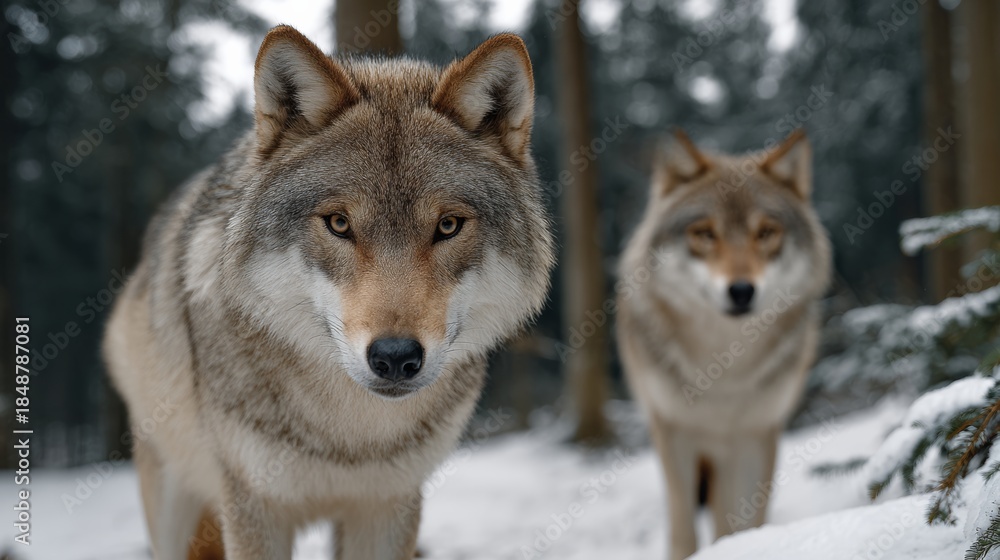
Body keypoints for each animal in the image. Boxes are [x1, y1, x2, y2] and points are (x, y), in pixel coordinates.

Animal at [102, 25, 554, 560]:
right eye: (339, 224)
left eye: (447, 226)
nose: (395, 357)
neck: (352, 439)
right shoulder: (254, 506)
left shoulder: (388, 505)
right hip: (171, 502)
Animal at [615, 130, 831, 559]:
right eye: (705, 234)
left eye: (765, 233)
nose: (742, 291)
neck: (723, 369)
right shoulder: (674, 431)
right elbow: (683, 529)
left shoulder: (755, 435)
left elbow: (744, 522)